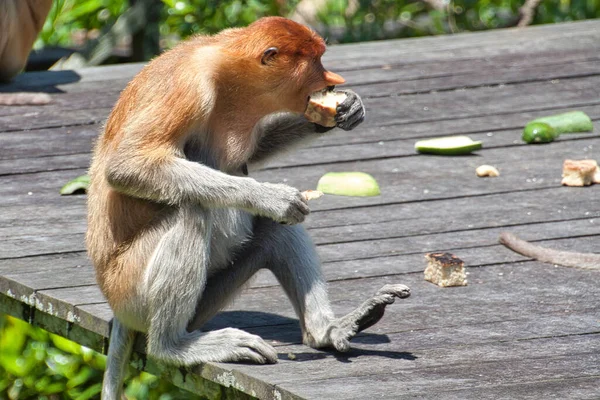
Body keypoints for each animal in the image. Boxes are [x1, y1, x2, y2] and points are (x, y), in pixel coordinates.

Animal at [85, 17, 412, 398]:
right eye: (316, 61)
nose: (334, 80)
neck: (227, 70)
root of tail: (114, 305)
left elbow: (254, 153)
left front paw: (344, 109)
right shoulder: (188, 89)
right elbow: (127, 165)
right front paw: (274, 198)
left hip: (209, 295)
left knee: (273, 232)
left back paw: (330, 331)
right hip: (130, 291)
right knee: (192, 209)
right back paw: (174, 346)